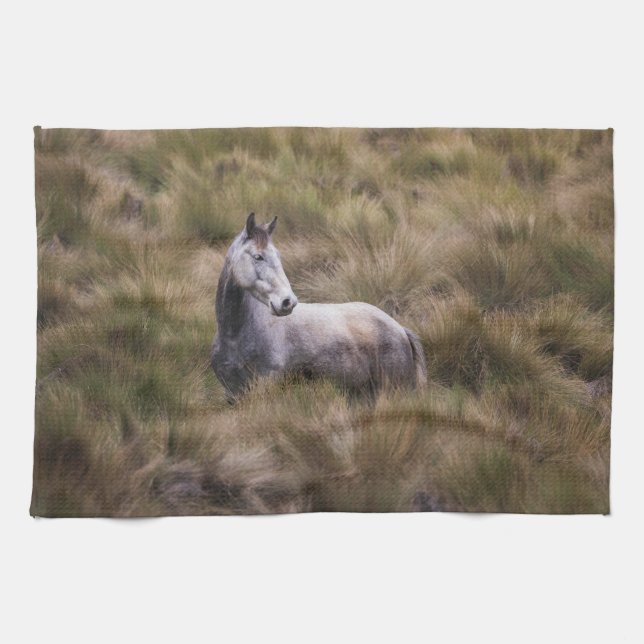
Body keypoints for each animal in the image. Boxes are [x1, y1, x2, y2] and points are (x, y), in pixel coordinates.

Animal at [211, 213, 427, 400]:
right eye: (258, 256)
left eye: (278, 256)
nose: (288, 302)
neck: (236, 336)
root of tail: (399, 329)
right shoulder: (233, 395)